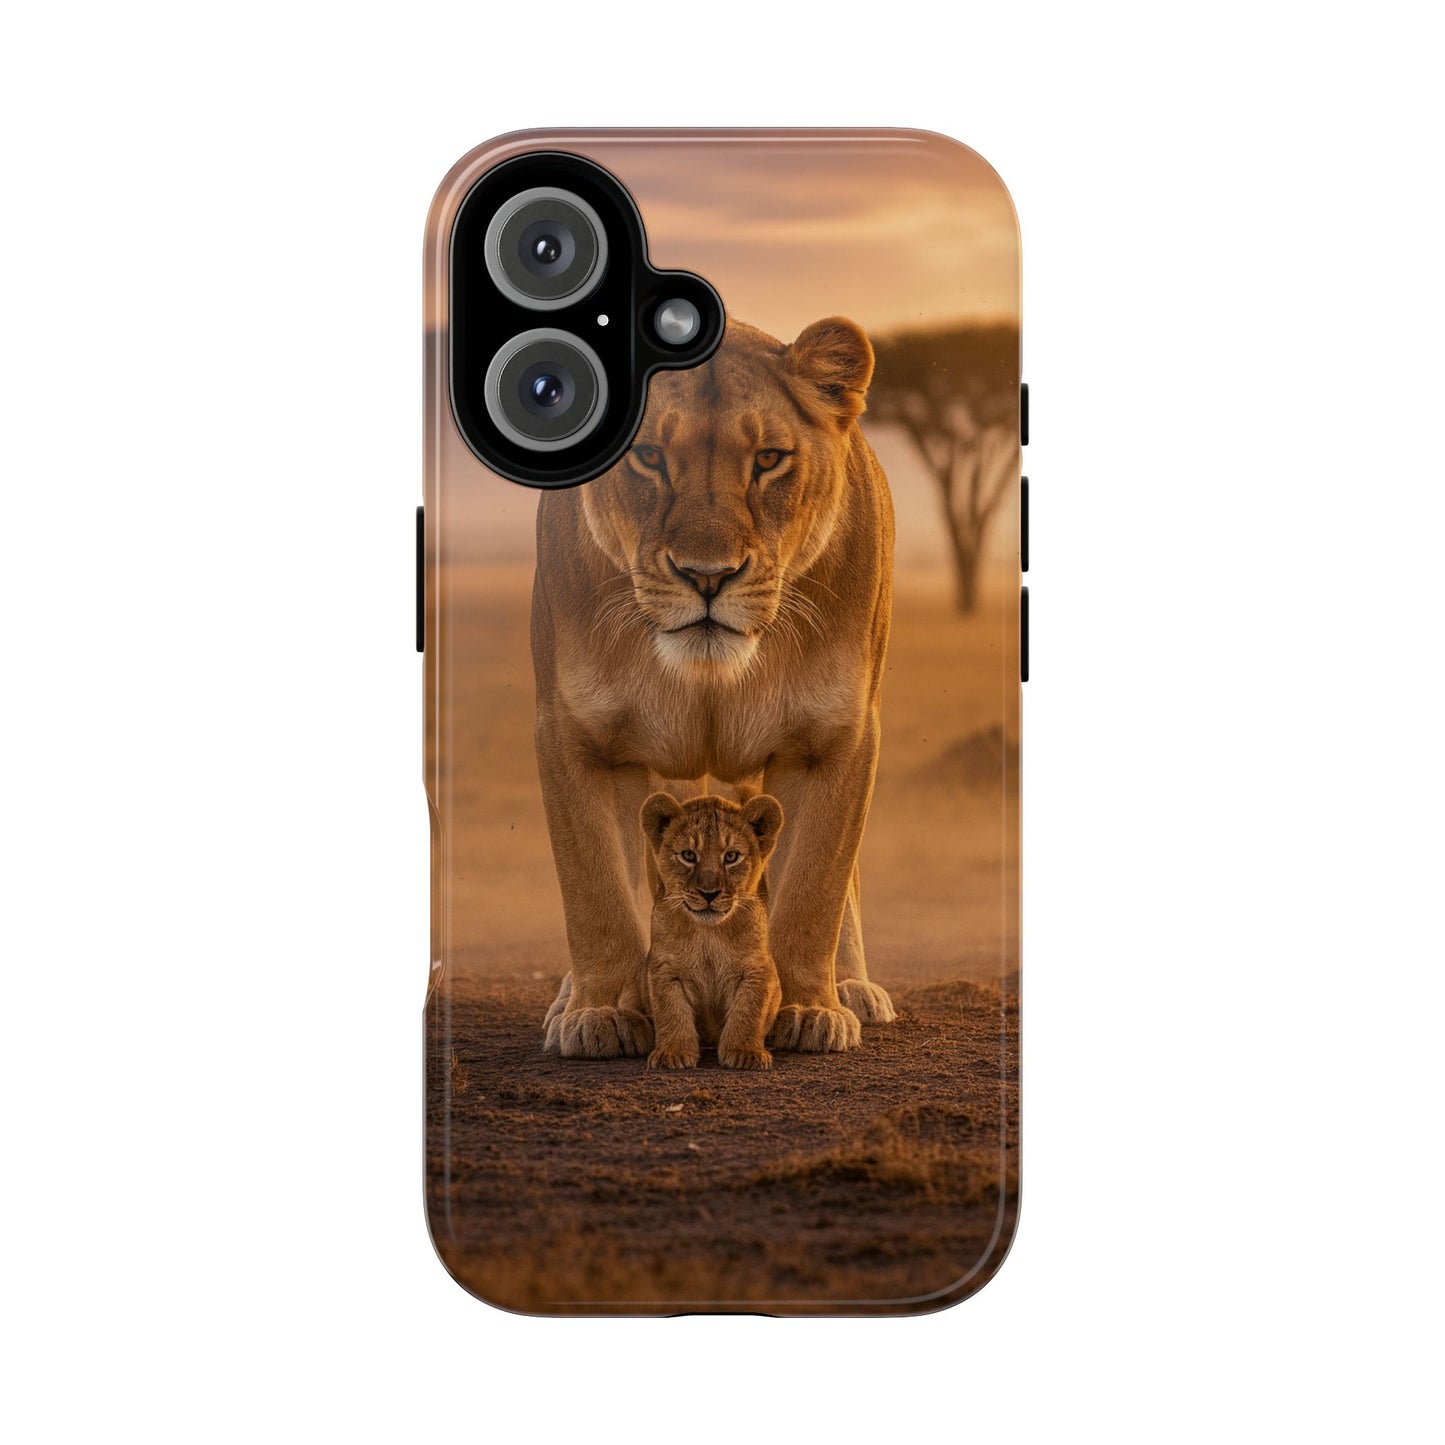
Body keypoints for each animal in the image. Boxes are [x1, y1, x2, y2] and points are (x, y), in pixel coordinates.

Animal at [640, 792, 784, 1071]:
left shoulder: (755, 969)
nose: (709, 893)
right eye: (688, 855)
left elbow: (748, 1012)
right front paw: (672, 1052)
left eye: (731, 857)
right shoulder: (665, 970)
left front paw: (744, 1052)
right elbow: (671, 1011)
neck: (709, 934)